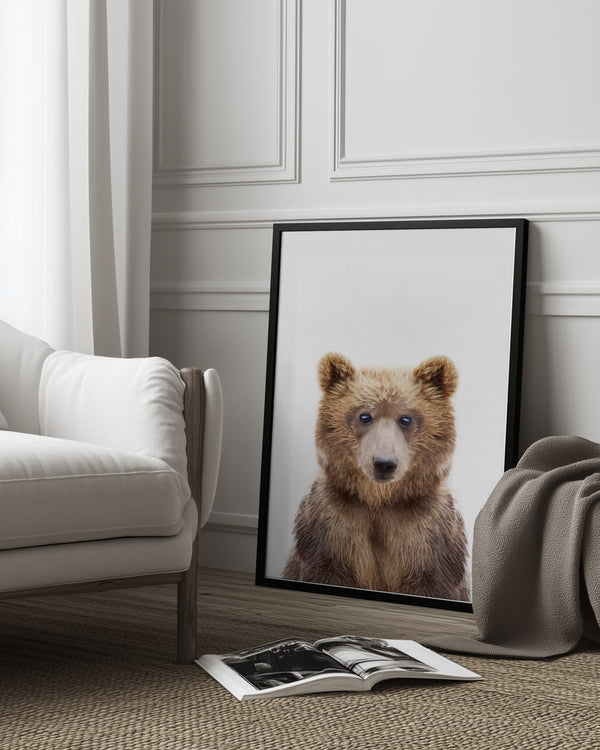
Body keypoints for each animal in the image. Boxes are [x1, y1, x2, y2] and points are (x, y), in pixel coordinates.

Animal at [282, 352, 470, 602]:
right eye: (365, 416)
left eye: (406, 419)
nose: (384, 463)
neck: (380, 501)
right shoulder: (332, 528)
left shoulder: (429, 536)